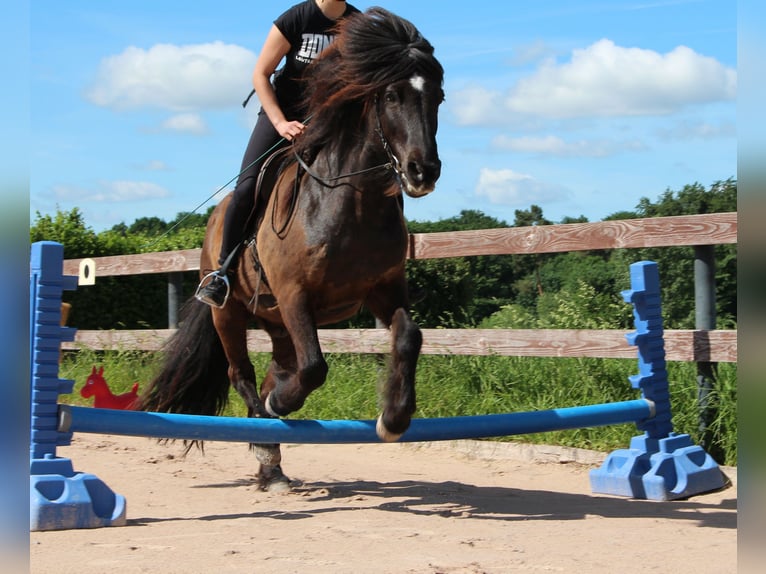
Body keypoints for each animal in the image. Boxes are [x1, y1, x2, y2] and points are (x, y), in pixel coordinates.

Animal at [137, 7, 444, 491]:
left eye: (439, 97)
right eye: (392, 95)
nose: (423, 172)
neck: (351, 200)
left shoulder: (383, 289)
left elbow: (409, 337)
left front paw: (394, 418)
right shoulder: (295, 293)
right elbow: (315, 367)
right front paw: (283, 406)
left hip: (277, 324)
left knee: (273, 371)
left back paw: (272, 465)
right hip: (230, 313)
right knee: (242, 374)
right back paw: (266, 439)